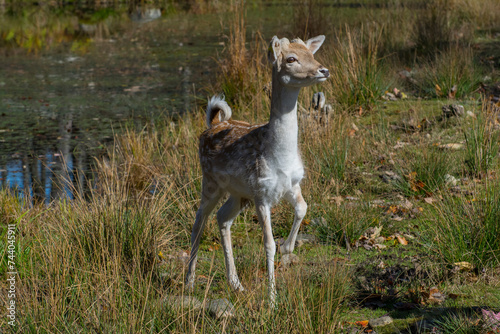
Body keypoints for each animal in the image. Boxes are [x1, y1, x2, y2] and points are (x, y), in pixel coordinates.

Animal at [186, 34, 330, 306]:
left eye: (312, 53)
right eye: (291, 58)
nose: (323, 70)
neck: (280, 155)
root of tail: (212, 125)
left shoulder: (292, 184)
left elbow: (303, 208)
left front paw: (288, 248)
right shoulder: (262, 193)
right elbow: (268, 243)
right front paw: (272, 299)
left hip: (238, 194)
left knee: (222, 218)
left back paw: (236, 284)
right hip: (210, 182)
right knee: (199, 221)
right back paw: (188, 281)